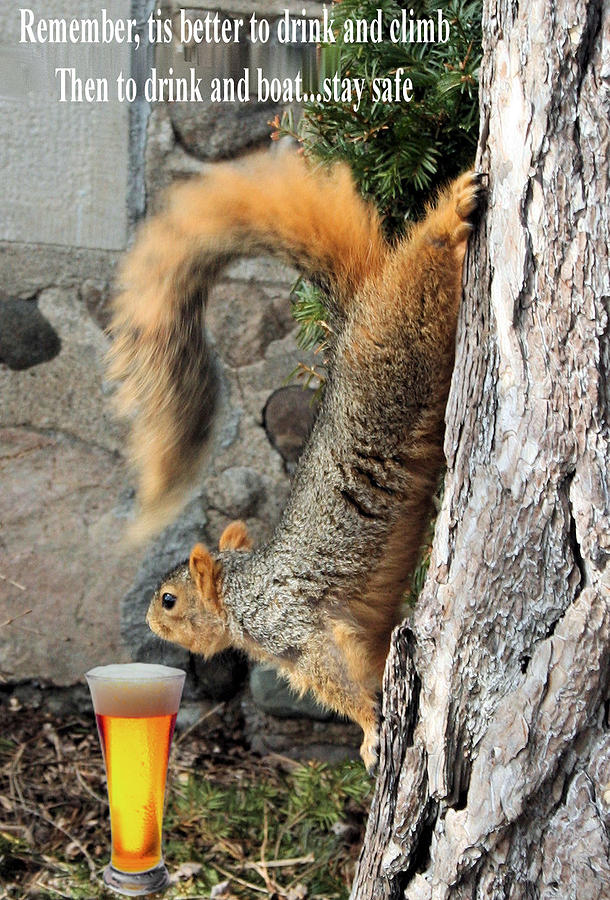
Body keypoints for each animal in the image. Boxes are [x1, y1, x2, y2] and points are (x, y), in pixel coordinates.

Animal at [109, 151, 480, 768]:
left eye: (169, 599)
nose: (146, 620)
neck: (241, 590)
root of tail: (352, 320)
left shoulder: (290, 628)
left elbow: (336, 680)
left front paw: (369, 730)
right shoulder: (350, 633)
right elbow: (366, 661)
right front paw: (372, 732)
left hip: (397, 355)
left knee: (419, 271)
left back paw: (451, 211)